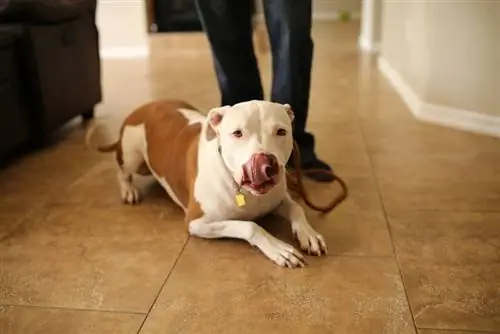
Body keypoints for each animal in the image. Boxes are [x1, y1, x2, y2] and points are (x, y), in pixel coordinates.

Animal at [86, 98, 328, 266]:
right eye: (237, 133)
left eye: (281, 131)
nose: (265, 164)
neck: (243, 191)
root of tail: (144, 106)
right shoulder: (197, 222)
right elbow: (250, 226)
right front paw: (278, 248)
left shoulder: (278, 199)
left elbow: (297, 208)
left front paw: (309, 234)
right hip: (133, 157)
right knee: (122, 170)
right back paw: (128, 190)